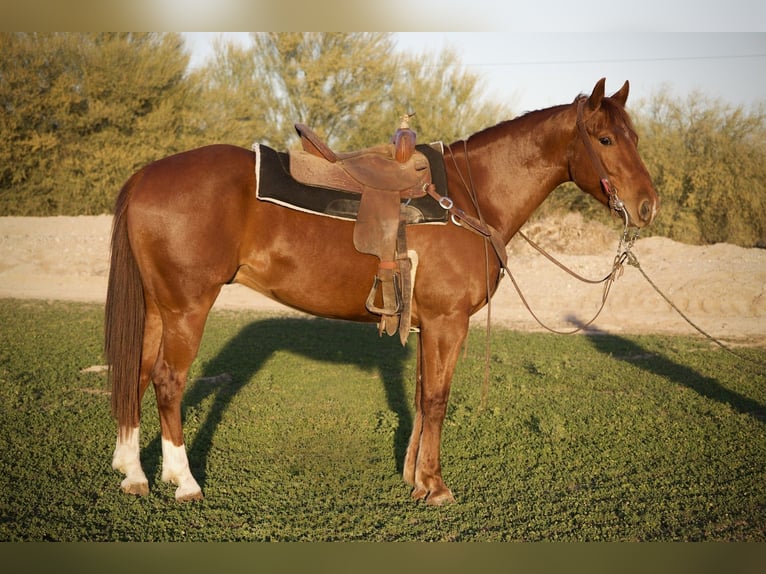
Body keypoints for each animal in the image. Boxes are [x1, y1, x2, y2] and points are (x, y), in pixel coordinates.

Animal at [106, 78, 659, 505]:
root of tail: (145, 176)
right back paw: (184, 482)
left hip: (156, 307)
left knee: (136, 373)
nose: (647, 205)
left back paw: (134, 474)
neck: (468, 195)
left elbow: (420, 395)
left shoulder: (427, 322)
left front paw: (414, 477)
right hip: (187, 306)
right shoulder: (447, 322)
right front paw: (434, 486)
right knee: (167, 381)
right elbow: (437, 398)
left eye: (633, 135)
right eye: (605, 139)